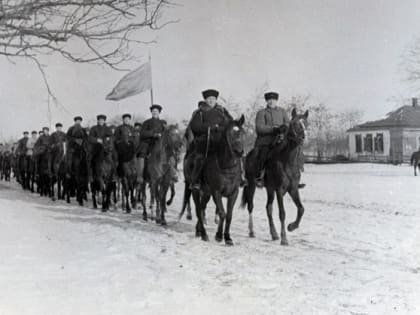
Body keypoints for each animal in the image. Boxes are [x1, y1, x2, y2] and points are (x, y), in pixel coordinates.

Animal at [191, 116, 246, 247]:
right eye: (229, 134)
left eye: (242, 133)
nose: (239, 152)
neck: (226, 167)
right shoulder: (216, 192)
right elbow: (222, 212)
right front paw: (219, 236)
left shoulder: (234, 193)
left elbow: (229, 215)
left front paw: (228, 238)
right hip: (196, 191)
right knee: (198, 210)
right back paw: (204, 234)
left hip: (206, 193)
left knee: (202, 208)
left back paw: (198, 231)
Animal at [240, 109, 308, 247]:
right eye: (295, 124)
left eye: (306, 123)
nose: (303, 137)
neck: (287, 162)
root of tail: (249, 155)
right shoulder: (279, 191)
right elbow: (282, 213)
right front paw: (284, 238)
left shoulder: (293, 189)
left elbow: (301, 209)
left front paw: (291, 227)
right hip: (252, 185)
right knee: (251, 206)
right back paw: (252, 231)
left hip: (270, 189)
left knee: (268, 208)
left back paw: (274, 234)